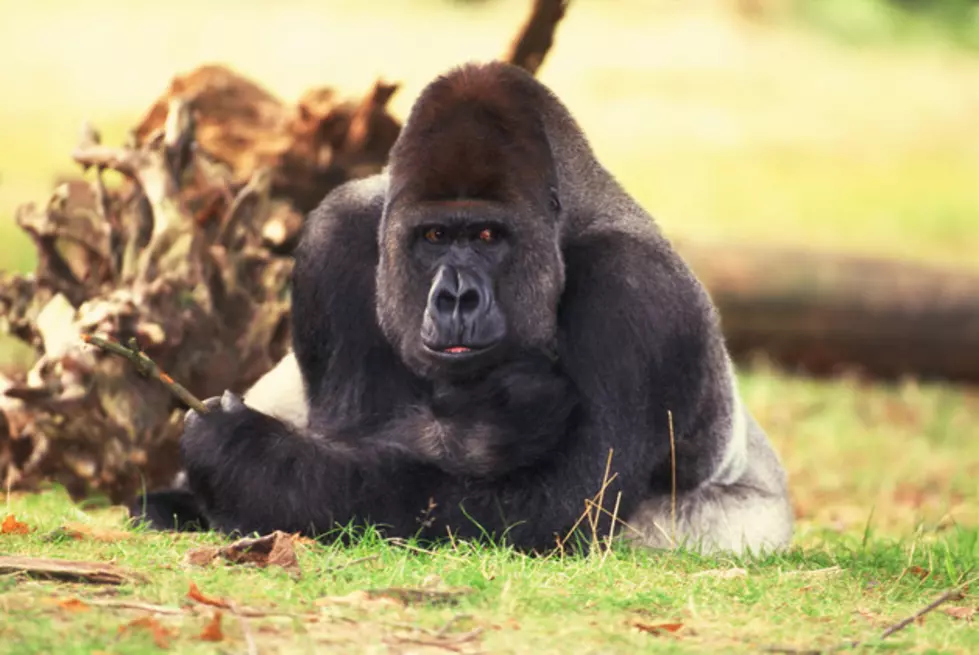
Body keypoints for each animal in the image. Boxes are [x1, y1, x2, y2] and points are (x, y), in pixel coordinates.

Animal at [132, 61, 796, 556]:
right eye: (433, 237)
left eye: (486, 236)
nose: (456, 297)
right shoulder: (334, 237)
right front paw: (490, 426)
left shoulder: (637, 297)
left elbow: (560, 502)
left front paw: (247, 457)